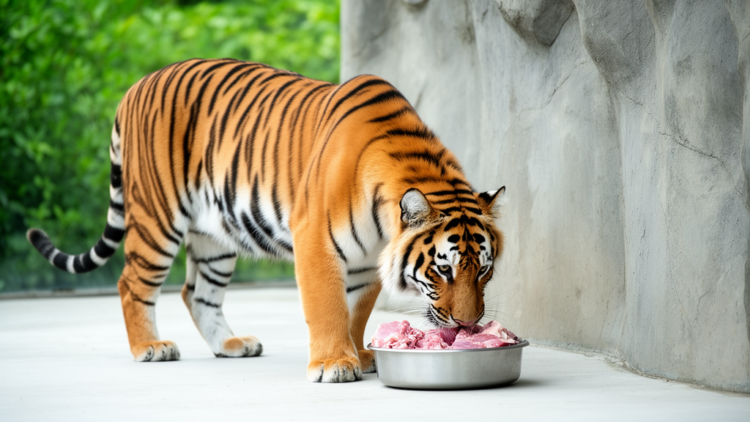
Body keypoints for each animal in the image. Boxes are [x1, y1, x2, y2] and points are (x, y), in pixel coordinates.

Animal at [27, 58, 505, 383]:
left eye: (483, 271)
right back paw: (150, 347)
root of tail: (137, 85)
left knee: (196, 293)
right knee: (132, 283)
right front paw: (334, 364)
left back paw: (231, 345)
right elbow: (328, 305)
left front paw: (359, 355)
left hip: (215, 237)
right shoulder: (316, 240)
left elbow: (355, 310)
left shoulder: (369, 260)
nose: (468, 326)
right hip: (156, 217)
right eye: (443, 271)